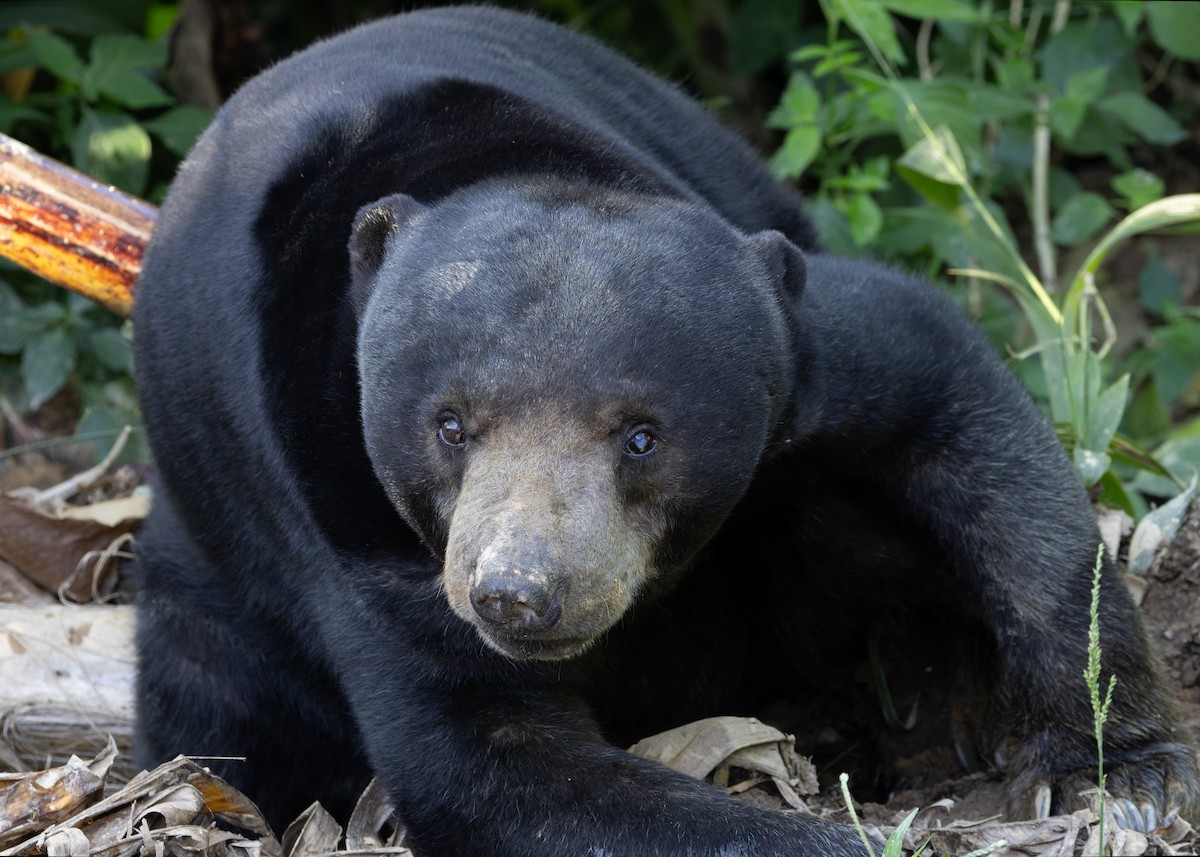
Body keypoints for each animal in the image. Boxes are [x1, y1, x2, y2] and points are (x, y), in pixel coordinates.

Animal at [131, 6, 1198, 856]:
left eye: (641, 436)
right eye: (450, 425)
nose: (518, 593)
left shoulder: (802, 349)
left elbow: (960, 416)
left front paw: (1117, 772)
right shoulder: (347, 516)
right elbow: (483, 756)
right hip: (216, 601)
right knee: (217, 705)